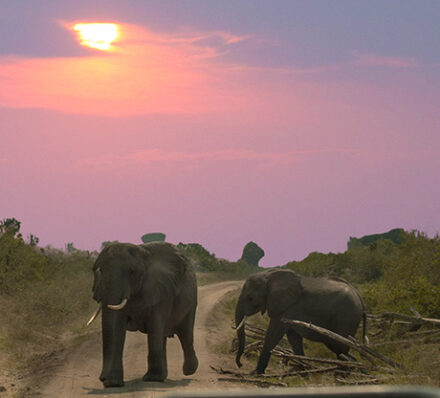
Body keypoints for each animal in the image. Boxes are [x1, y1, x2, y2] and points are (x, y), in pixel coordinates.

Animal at [87, 241, 198, 388]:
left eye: (132, 271)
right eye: (97, 270)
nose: (102, 378)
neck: (141, 254)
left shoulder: (161, 290)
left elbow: (155, 326)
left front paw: (152, 379)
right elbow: (117, 328)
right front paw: (113, 383)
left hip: (192, 299)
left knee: (185, 334)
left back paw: (188, 371)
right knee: (165, 336)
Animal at [235, 268, 366, 374]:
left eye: (250, 298)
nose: (240, 364)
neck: (269, 275)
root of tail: (358, 294)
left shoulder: (285, 308)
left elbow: (273, 334)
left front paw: (255, 373)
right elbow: (294, 338)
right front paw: (303, 373)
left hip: (346, 317)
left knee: (339, 347)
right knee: (341, 351)